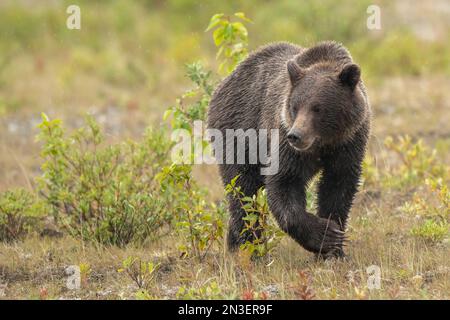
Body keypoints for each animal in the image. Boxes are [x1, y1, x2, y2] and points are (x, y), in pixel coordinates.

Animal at [207, 42, 370, 258]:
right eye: (295, 106)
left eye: (318, 108)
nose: (296, 135)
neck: (324, 144)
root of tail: (224, 83)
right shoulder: (285, 140)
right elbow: (284, 182)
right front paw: (324, 236)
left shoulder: (349, 143)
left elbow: (338, 188)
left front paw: (334, 249)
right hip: (239, 133)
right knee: (243, 190)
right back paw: (250, 247)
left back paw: (234, 243)